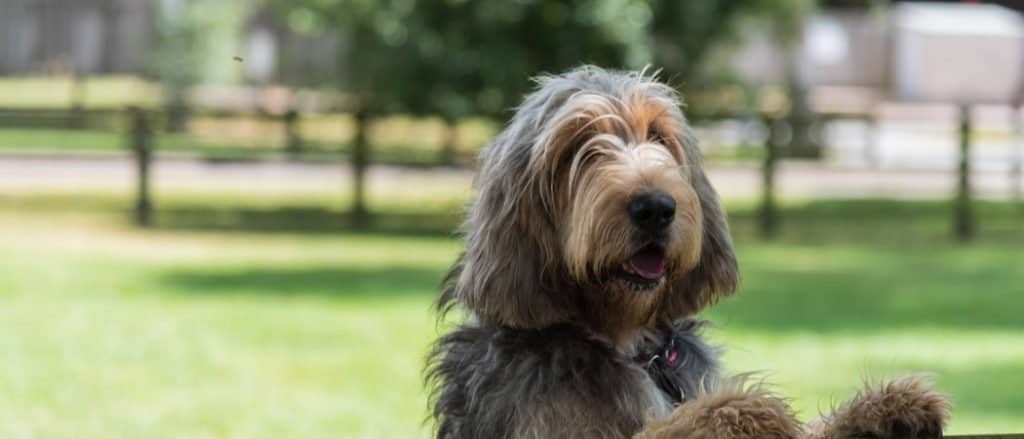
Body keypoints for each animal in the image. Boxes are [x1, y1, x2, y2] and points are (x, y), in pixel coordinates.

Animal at [425, 66, 950, 437]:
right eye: (578, 146)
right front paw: (742, 408)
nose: (656, 207)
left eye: (658, 135)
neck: (628, 343)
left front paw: (883, 408)